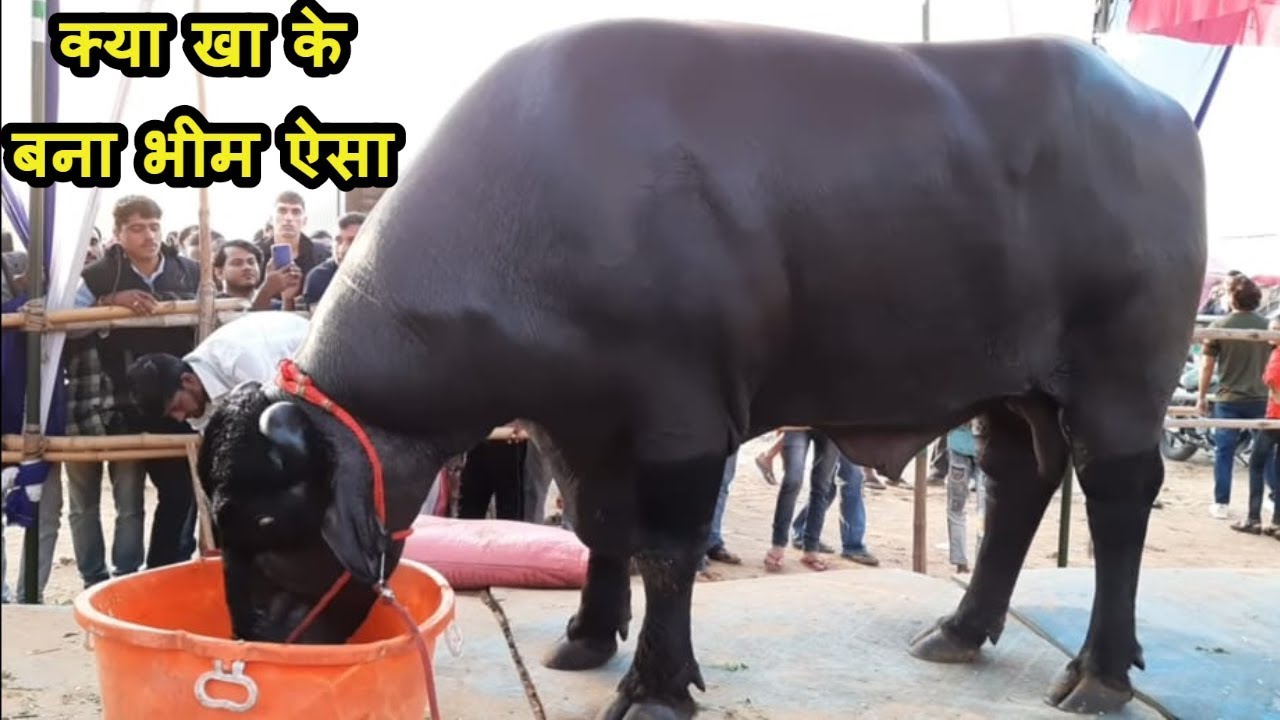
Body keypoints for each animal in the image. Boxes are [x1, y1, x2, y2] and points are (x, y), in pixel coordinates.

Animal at [197, 19, 1206, 719]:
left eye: (268, 524)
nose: (254, 642)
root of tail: (1156, 111)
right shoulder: (576, 422)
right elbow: (597, 527)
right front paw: (587, 636)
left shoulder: (680, 416)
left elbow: (668, 547)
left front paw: (655, 683)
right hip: (1012, 391)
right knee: (1017, 484)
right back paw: (960, 630)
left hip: (1121, 378)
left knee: (1118, 498)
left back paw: (1099, 674)